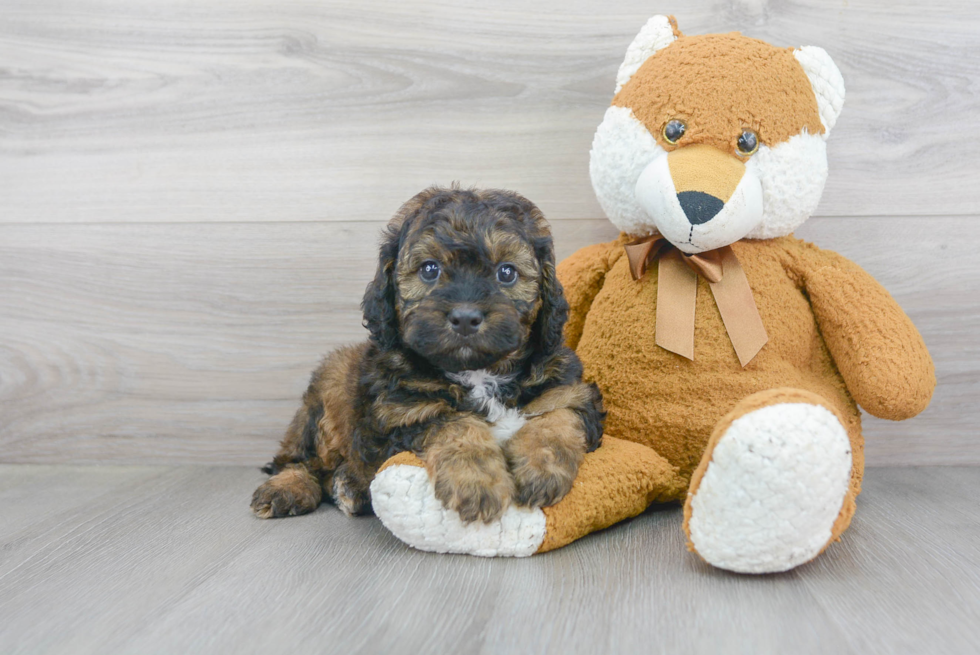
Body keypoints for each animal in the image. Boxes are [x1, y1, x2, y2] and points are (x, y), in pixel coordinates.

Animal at [251, 187, 604, 524]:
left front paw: (542, 469)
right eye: (430, 269)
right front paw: (476, 482)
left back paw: (348, 488)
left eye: (507, 273)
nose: (465, 317)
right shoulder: (400, 415)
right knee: (299, 460)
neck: (479, 372)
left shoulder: (570, 389)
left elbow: (556, 416)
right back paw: (292, 488)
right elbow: (454, 424)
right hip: (328, 390)